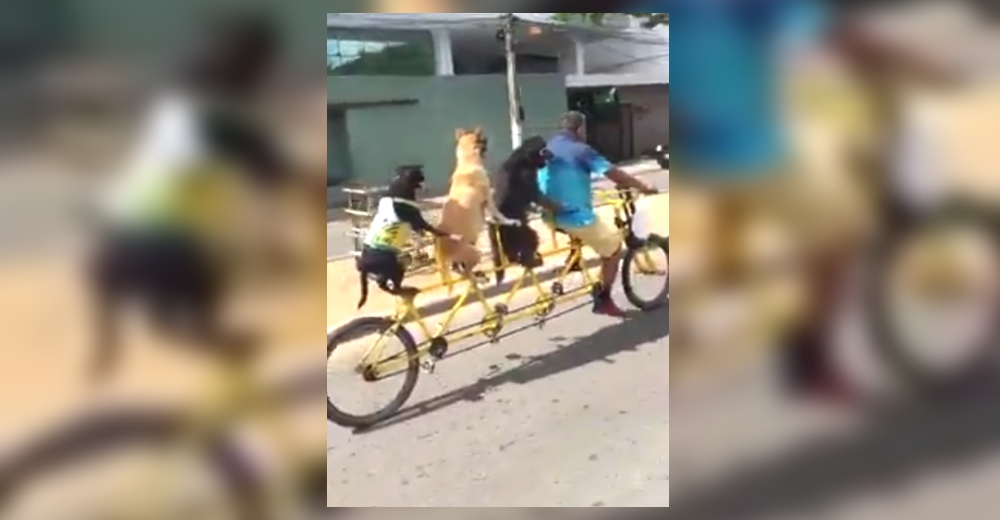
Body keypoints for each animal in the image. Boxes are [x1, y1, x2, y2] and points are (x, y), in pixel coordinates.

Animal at [436, 127, 516, 286]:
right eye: (484, 139)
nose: (489, 138)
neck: (467, 160)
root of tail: (441, 248)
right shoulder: (489, 199)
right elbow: (499, 214)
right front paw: (510, 221)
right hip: (473, 253)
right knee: (466, 271)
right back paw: (478, 279)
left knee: (460, 271)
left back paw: (478, 277)